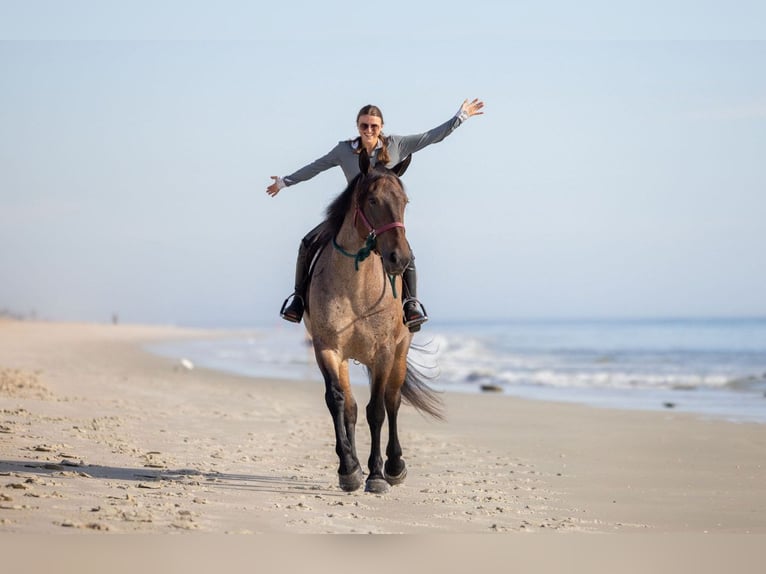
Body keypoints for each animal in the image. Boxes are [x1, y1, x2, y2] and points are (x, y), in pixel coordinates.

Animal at [303, 149, 443, 494]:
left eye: (404, 201)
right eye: (372, 200)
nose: (399, 259)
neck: (355, 286)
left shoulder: (383, 353)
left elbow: (377, 410)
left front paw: (377, 474)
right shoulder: (327, 349)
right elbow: (338, 402)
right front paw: (349, 469)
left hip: (400, 353)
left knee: (392, 401)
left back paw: (394, 466)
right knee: (351, 408)